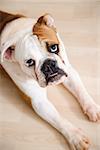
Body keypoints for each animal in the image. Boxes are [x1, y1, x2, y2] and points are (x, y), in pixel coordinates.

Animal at [0, 10, 100, 150]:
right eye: (29, 62)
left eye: (54, 48)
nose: (47, 64)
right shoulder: (39, 101)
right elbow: (58, 119)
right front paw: (75, 137)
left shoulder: (68, 70)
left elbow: (80, 90)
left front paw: (92, 108)